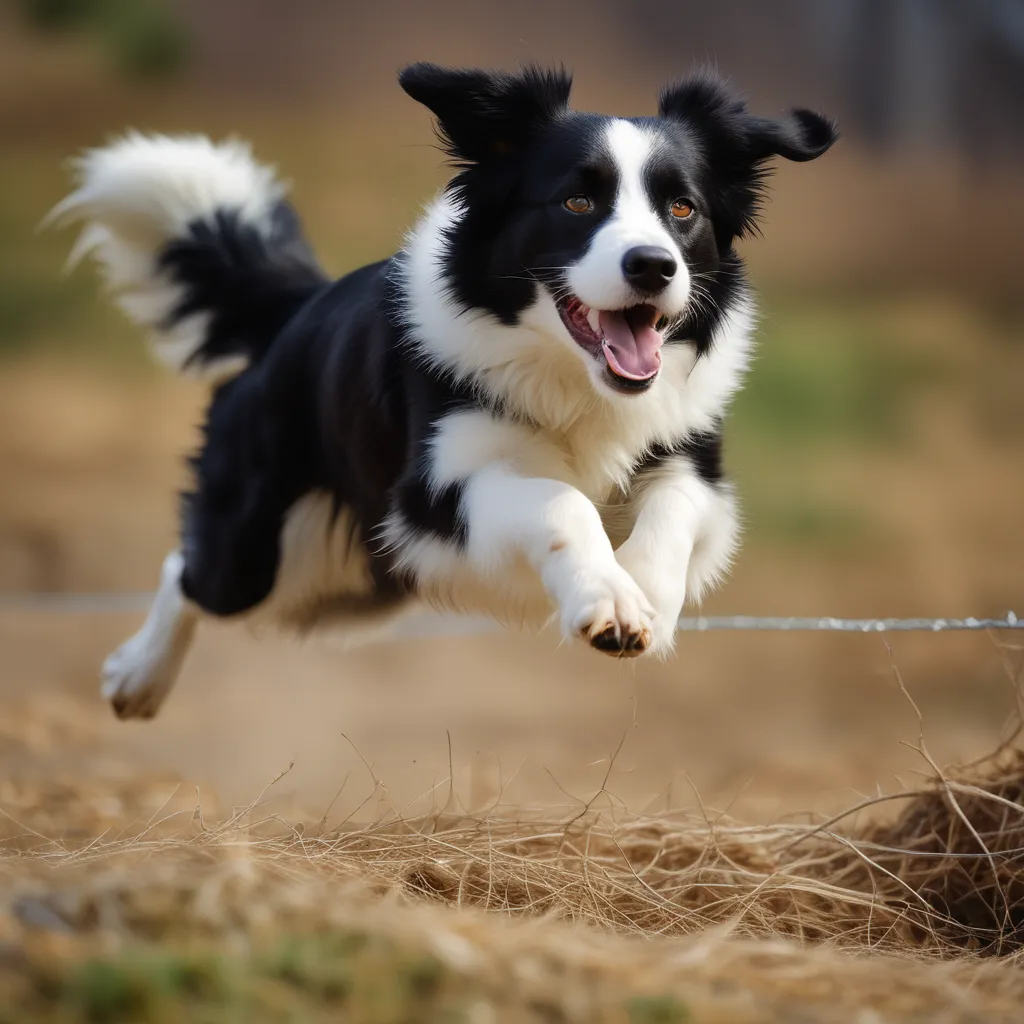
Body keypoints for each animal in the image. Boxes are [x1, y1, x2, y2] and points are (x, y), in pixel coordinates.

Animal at [48, 66, 835, 720]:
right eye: (577, 200)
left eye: (682, 209)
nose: (652, 266)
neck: (571, 380)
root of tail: (295, 310)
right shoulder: (443, 485)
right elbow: (562, 501)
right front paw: (608, 597)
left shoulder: (694, 463)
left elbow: (673, 509)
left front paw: (644, 592)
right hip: (262, 547)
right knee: (190, 571)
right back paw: (137, 676)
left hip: (351, 584)